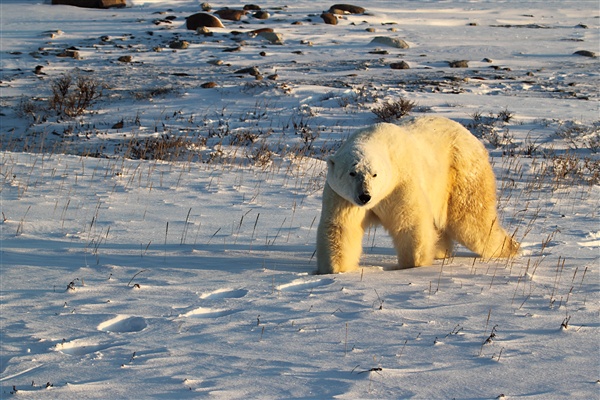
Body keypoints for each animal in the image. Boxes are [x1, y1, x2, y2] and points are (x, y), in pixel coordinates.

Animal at [316, 114, 516, 274]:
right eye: (352, 173)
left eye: (374, 174)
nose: (365, 196)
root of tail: (472, 136)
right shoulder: (343, 196)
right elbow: (342, 227)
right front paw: (336, 269)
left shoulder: (400, 183)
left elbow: (409, 221)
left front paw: (413, 264)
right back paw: (440, 251)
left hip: (461, 173)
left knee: (471, 220)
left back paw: (510, 248)